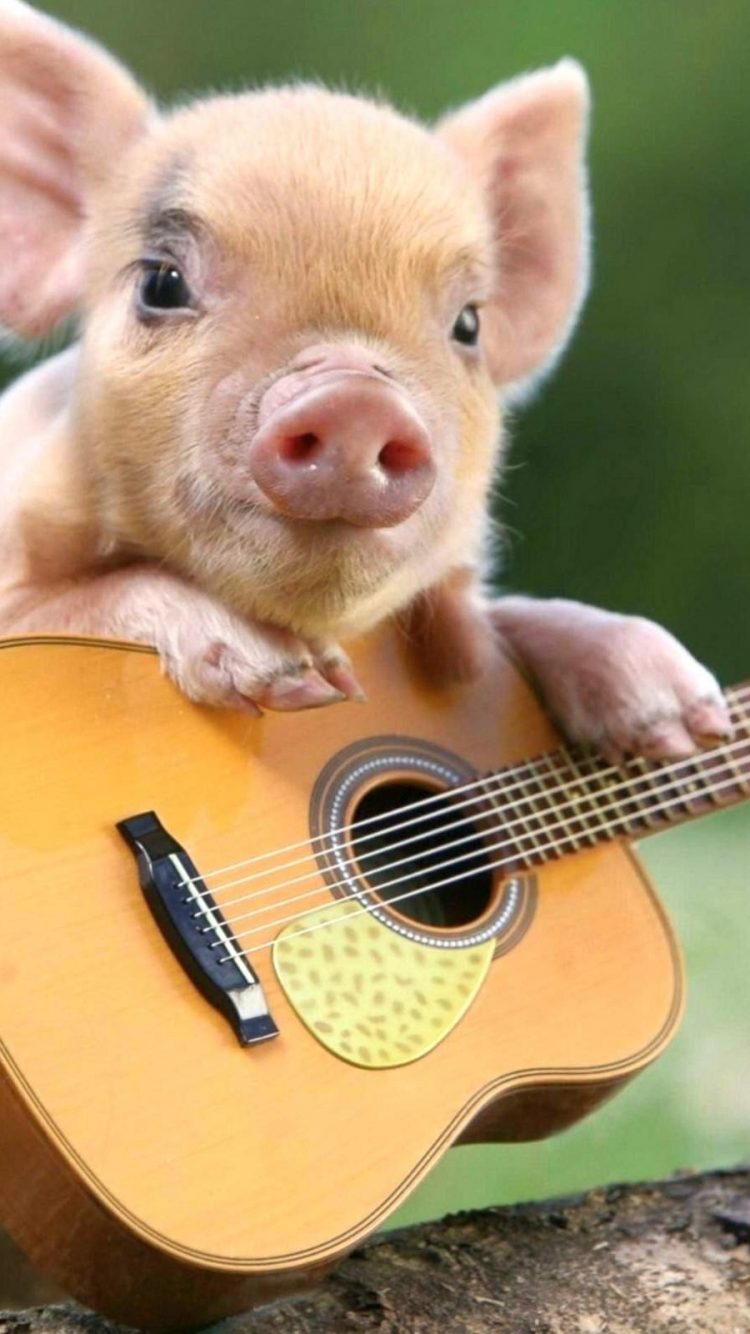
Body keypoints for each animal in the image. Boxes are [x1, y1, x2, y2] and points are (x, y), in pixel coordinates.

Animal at [0, 0, 730, 760]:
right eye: (161, 284)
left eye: (469, 323)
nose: (356, 397)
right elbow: (83, 603)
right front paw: (291, 676)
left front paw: (685, 717)